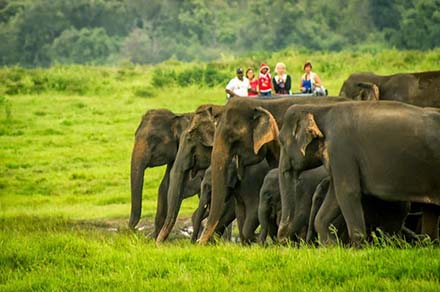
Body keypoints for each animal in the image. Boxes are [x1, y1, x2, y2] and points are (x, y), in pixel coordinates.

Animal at [128, 108, 202, 238]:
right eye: (135, 135)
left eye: (154, 139)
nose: (133, 232)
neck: (177, 116)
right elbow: (165, 186)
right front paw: (152, 239)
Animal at [278, 101, 440, 244]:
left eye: (281, 142)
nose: (284, 240)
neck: (320, 107)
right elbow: (335, 196)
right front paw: (332, 247)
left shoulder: (341, 149)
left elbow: (347, 192)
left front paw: (355, 250)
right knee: (431, 211)